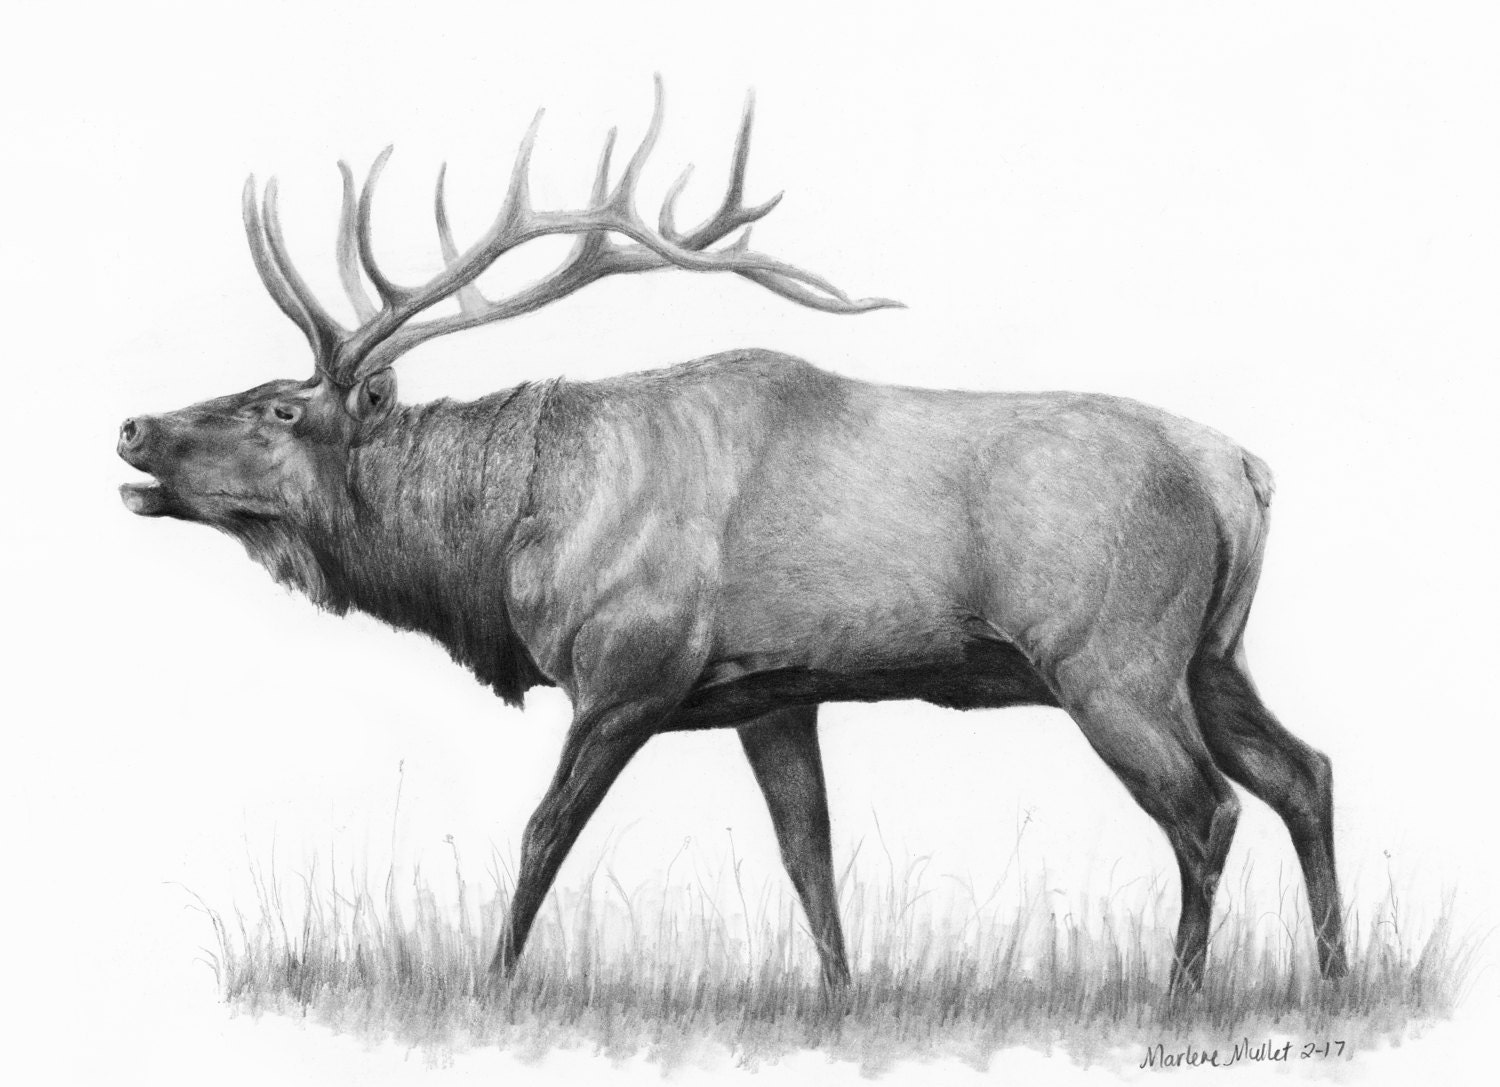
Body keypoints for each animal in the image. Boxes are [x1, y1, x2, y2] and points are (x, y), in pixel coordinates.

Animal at [117, 78, 1346, 993]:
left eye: (282, 408)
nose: (134, 427)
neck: (507, 545)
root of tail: (1243, 472)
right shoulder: (775, 693)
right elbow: (812, 862)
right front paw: (843, 998)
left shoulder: (630, 672)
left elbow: (541, 834)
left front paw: (491, 983)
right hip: (1212, 654)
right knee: (1307, 771)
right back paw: (1335, 976)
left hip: (1113, 658)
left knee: (1208, 807)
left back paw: (1182, 992)